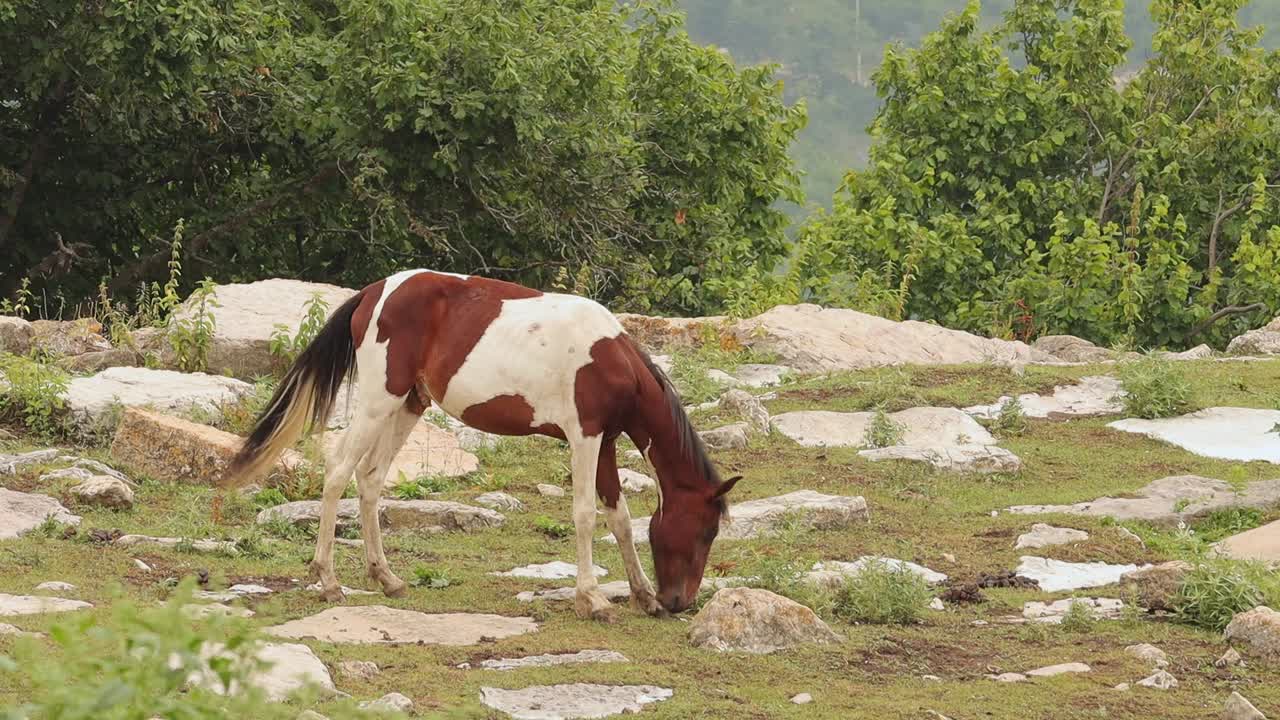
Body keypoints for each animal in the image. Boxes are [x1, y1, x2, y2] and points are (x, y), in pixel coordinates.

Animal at [223, 269, 740, 620]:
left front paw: (642, 595)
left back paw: (386, 577)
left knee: (369, 479)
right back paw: (328, 581)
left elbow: (620, 518)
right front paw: (592, 599)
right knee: (337, 471)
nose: (680, 602)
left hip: (408, 404)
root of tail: (374, 292)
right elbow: (586, 516)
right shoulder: (585, 437)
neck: (611, 359)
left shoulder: (606, 442)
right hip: (377, 400)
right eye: (705, 531)